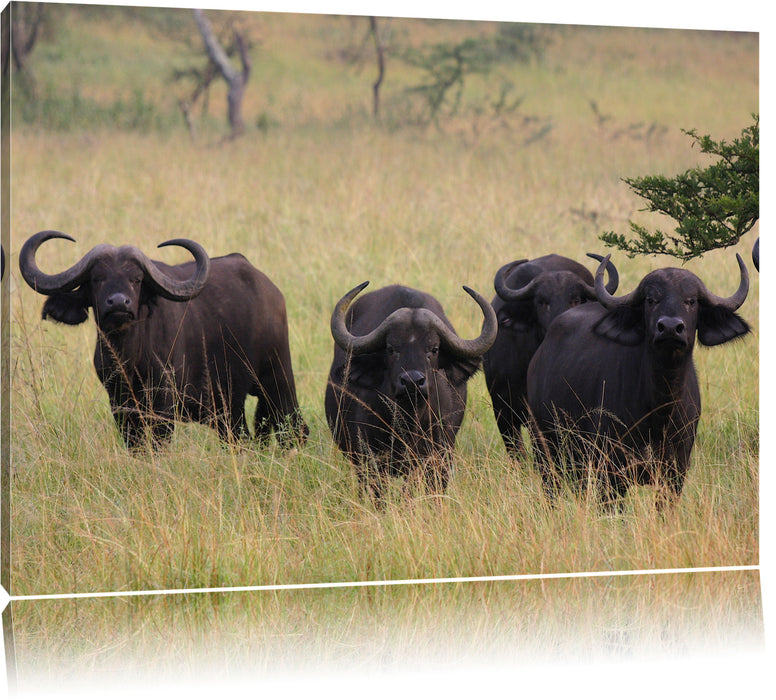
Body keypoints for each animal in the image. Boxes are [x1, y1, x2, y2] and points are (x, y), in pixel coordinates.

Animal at [19, 230, 308, 448]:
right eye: (96, 278)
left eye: (136, 279)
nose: (118, 303)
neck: (130, 357)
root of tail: (271, 292)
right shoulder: (120, 405)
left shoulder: (163, 404)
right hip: (229, 405)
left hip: (278, 381)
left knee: (295, 429)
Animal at [326, 282, 498, 500]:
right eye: (391, 348)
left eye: (434, 349)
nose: (412, 382)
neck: (409, 420)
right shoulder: (370, 458)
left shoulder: (439, 457)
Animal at [524, 254, 748, 506]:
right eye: (651, 300)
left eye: (691, 301)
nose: (670, 328)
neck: (659, 411)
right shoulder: (611, 473)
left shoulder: (674, 475)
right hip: (545, 447)